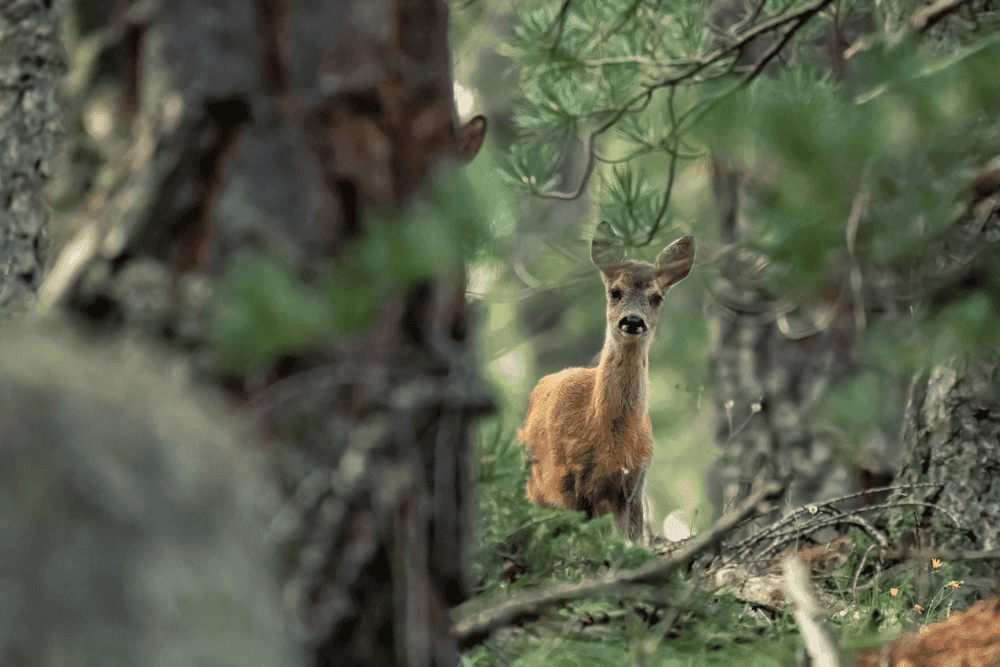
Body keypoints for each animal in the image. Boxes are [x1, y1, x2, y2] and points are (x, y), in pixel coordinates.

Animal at [518, 222, 696, 544]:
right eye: (615, 292)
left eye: (656, 298)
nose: (633, 321)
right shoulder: (568, 479)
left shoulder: (634, 483)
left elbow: (634, 541)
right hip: (536, 487)